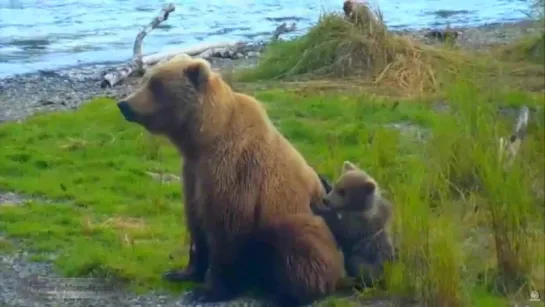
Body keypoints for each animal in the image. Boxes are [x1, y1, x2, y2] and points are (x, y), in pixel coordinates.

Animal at [117, 54, 342, 306]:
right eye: (146, 80)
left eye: (156, 85)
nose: (124, 104)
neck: (204, 139)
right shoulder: (193, 174)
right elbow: (196, 224)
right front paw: (181, 273)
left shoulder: (235, 171)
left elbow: (226, 228)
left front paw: (208, 290)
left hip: (301, 217)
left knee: (298, 248)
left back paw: (288, 293)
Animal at [310, 162, 396, 290]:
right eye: (337, 185)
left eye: (343, 191)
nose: (325, 200)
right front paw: (322, 179)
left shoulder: (360, 225)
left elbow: (342, 231)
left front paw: (316, 206)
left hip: (371, 260)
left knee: (357, 264)